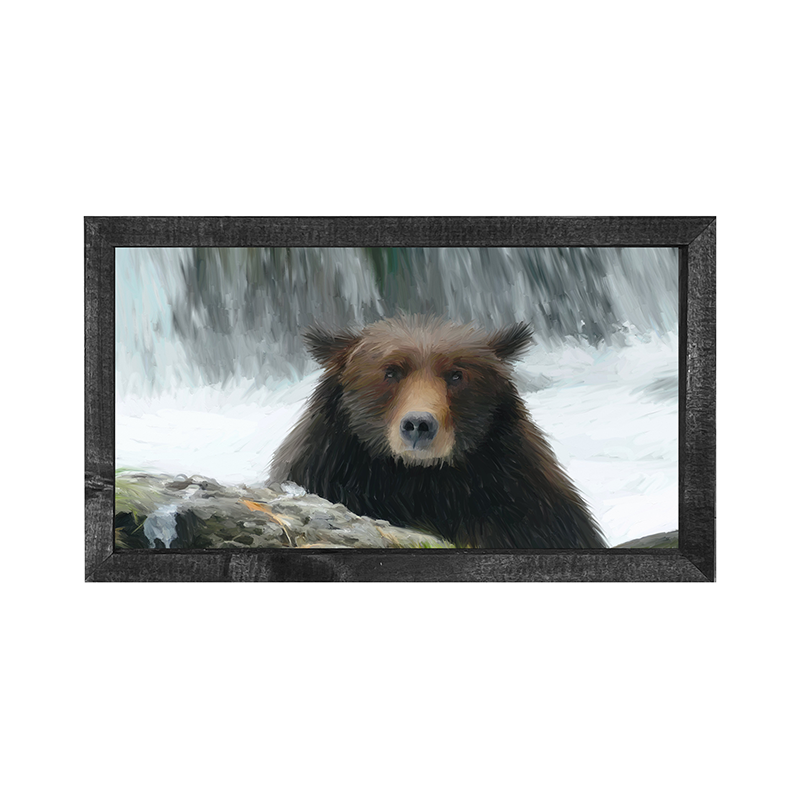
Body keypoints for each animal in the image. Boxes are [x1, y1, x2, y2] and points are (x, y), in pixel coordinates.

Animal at [270, 317, 606, 549]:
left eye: (456, 375)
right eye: (391, 371)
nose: (419, 424)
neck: (420, 479)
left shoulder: (521, 501)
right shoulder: (328, 470)